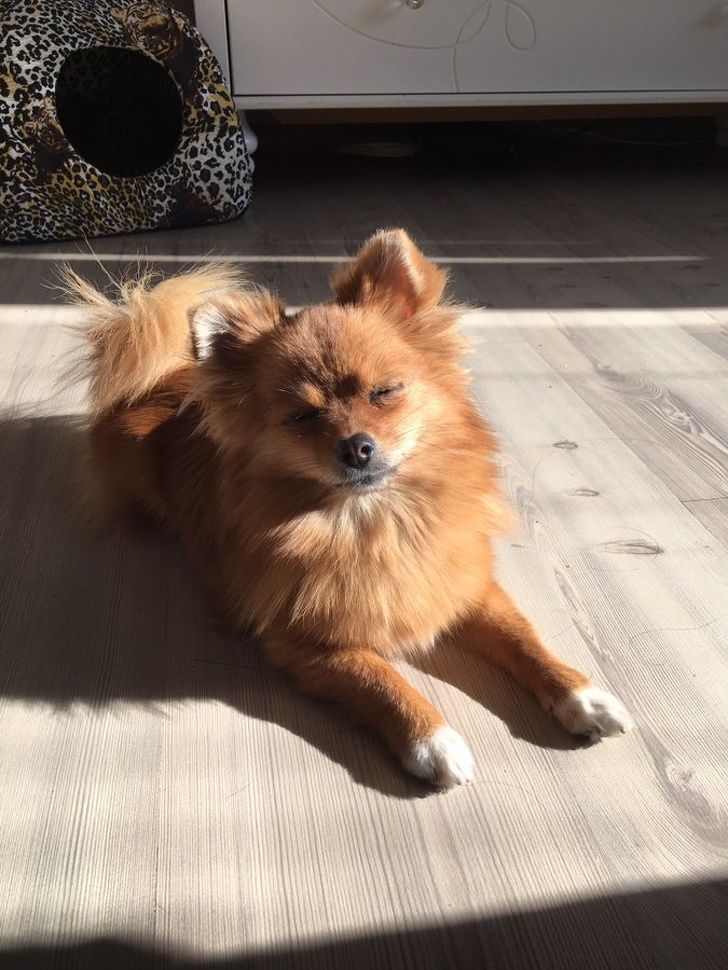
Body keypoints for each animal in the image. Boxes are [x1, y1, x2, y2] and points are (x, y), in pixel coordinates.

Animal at [64, 229, 632, 786]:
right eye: (301, 417)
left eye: (384, 392)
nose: (355, 446)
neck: (377, 521)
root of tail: (163, 378)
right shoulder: (304, 642)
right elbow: (379, 677)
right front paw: (432, 739)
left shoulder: (465, 588)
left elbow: (524, 638)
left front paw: (579, 693)